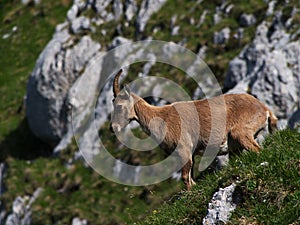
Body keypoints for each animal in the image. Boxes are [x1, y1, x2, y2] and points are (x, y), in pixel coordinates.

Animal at [109, 69, 276, 190]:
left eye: (119, 106)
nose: (113, 127)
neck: (161, 118)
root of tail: (264, 108)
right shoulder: (191, 154)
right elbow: (191, 177)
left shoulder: (184, 149)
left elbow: (185, 178)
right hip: (236, 147)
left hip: (240, 132)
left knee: (257, 149)